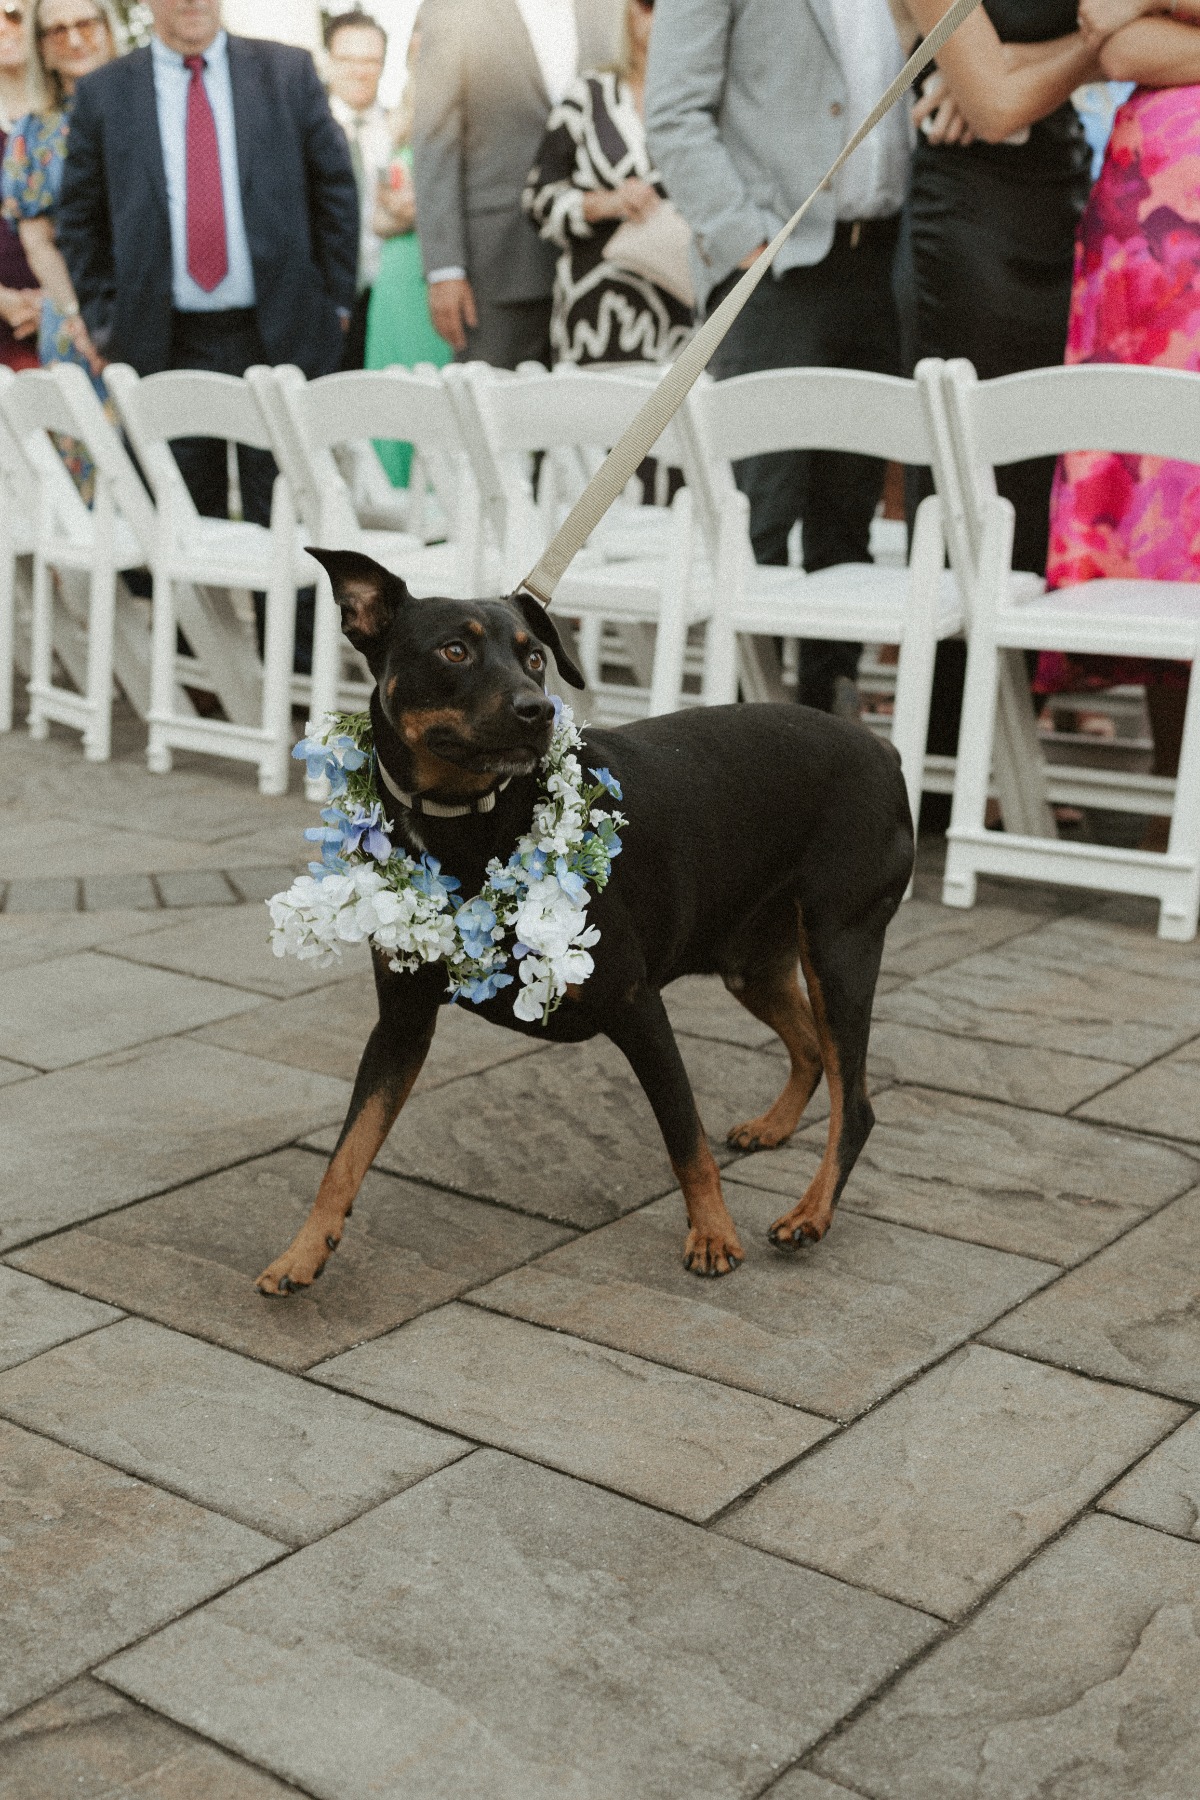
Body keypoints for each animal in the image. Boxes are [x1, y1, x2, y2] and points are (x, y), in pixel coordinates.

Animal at [253, 550, 910, 1296]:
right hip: (753, 962)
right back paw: (772, 1128)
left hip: (841, 947)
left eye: (535, 656)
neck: (470, 824)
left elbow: (684, 1136)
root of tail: (880, 746)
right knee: (811, 1049)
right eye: (454, 650)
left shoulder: (636, 1006)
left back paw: (809, 1215)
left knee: (855, 1103)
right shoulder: (401, 1021)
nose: (537, 710)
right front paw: (303, 1252)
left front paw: (714, 1235)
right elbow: (349, 1149)